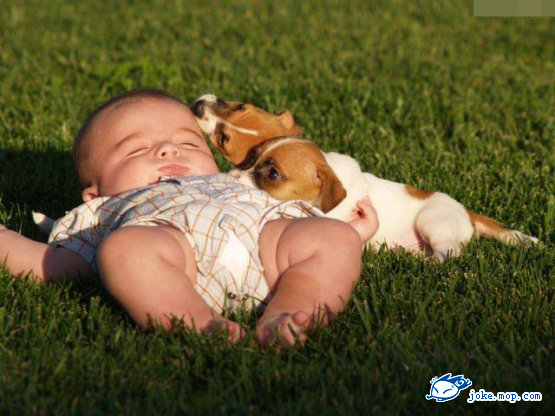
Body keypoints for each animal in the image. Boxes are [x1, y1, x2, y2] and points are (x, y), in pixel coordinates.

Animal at [191, 94, 538, 261]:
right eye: (252, 157)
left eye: (273, 174)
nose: (197, 105)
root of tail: (465, 211)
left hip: (433, 223)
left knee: (448, 255)